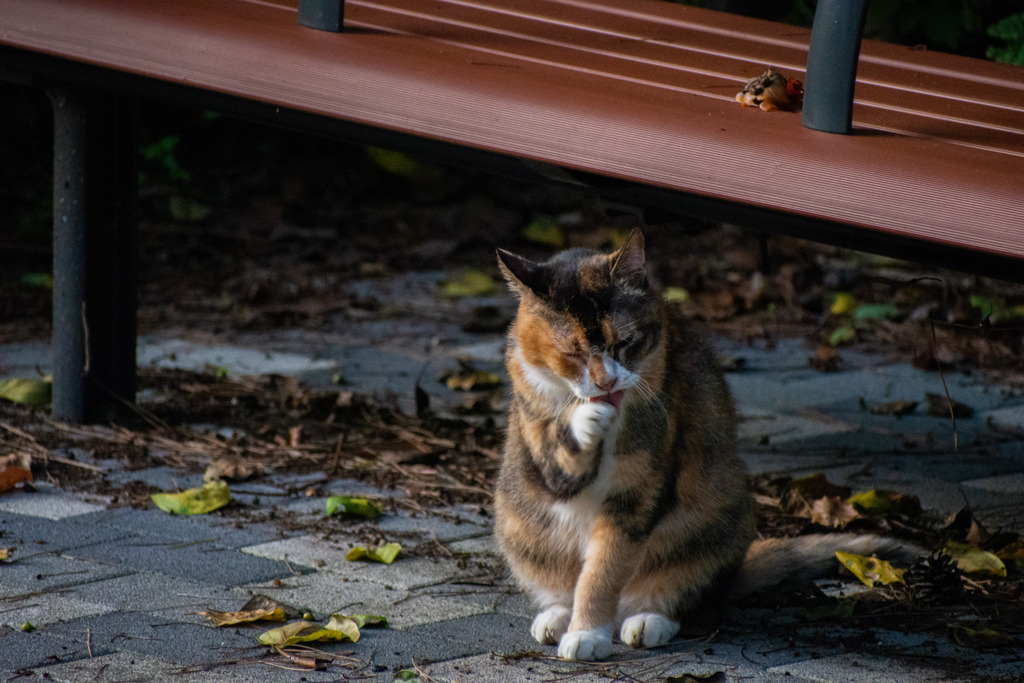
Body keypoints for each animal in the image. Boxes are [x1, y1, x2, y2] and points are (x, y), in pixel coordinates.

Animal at [491, 231, 909, 663]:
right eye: (572, 353)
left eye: (625, 342)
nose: (607, 382)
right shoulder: (543, 452)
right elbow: (559, 467)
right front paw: (584, 419)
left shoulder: (637, 494)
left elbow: (604, 570)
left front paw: (588, 633)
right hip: (517, 523)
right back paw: (558, 615)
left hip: (714, 520)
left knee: (686, 594)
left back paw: (648, 619)